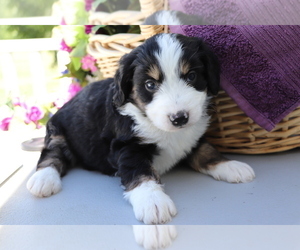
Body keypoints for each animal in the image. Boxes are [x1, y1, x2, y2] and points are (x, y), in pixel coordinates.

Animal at [27, 33, 254, 225]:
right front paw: (154, 201)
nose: (180, 118)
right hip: (57, 130)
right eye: (150, 84)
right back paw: (43, 180)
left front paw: (230, 165)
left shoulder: (192, 138)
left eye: (191, 76)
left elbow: (207, 151)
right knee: (52, 153)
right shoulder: (127, 147)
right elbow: (140, 172)